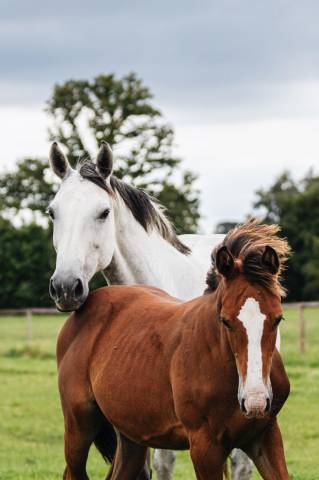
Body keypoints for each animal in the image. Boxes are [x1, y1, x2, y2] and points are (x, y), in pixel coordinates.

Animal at [57, 220, 292, 476]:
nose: (255, 401)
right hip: (79, 424)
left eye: (278, 319)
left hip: (131, 438)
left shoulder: (265, 436)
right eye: (225, 321)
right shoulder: (204, 447)